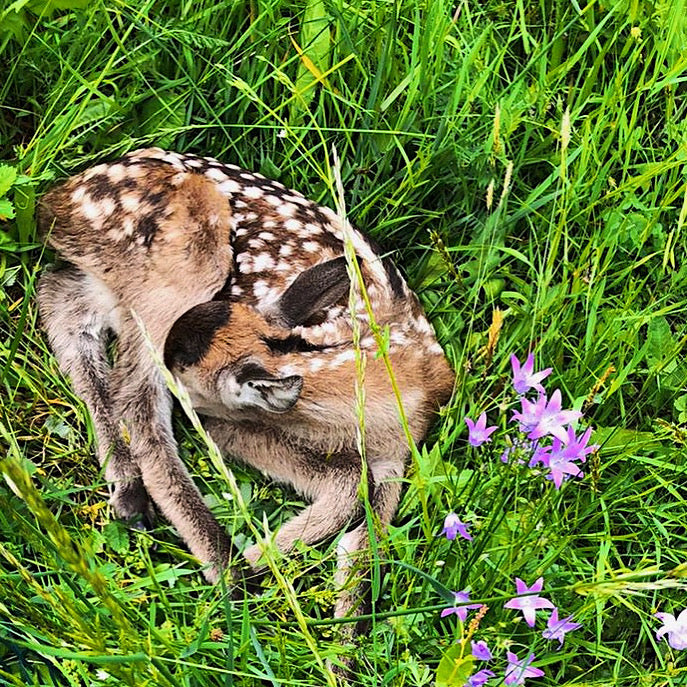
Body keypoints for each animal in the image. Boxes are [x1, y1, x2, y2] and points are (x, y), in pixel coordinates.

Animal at [39, 146, 456, 640]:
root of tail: (59, 197)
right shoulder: (229, 423)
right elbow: (349, 481)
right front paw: (261, 562)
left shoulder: (397, 456)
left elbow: (363, 539)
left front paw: (344, 637)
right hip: (186, 261)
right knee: (136, 397)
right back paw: (222, 568)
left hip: (117, 285)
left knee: (59, 299)